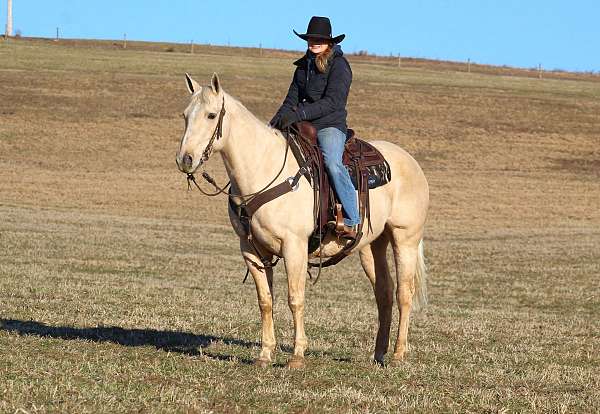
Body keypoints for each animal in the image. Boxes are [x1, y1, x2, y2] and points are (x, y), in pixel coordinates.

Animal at [176, 73, 428, 368]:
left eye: (211, 115)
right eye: (185, 115)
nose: (185, 159)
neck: (263, 168)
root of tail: (411, 162)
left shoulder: (293, 246)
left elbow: (295, 298)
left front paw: (296, 356)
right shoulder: (250, 249)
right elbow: (265, 300)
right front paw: (264, 354)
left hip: (405, 239)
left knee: (404, 293)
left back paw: (398, 354)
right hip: (371, 245)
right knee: (384, 293)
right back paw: (378, 354)